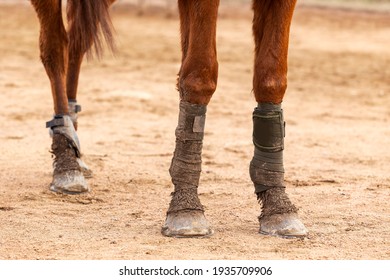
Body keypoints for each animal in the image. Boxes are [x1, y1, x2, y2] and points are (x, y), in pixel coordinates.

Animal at [30, 0, 308, 238]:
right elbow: (199, 77)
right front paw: (185, 209)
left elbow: (270, 78)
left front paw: (278, 206)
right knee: (55, 46)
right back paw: (66, 159)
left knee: (77, 42)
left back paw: (75, 145)